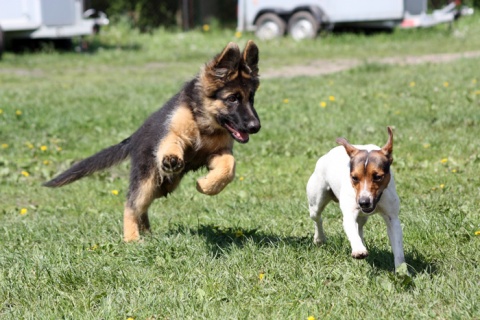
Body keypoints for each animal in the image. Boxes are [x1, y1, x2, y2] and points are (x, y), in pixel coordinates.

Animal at [44, 40, 260, 240]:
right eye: (232, 98)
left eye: (251, 98)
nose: (255, 127)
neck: (205, 123)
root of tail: (134, 137)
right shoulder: (171, 132)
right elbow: (172, 142)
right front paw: (172, 159)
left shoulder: (219, 152)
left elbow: (229, 166)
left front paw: (207, 185)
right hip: (147, 179)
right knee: (131, 205)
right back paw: (132, 239)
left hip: (162, 185)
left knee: (142, 207)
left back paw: (147, 234)